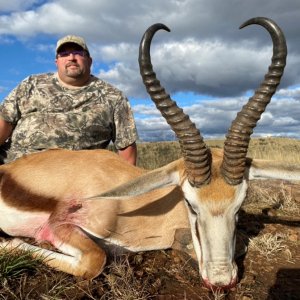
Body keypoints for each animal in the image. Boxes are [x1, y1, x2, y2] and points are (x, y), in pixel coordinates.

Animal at [0, 17, 298, 290]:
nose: (221, 280)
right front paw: (11, 243)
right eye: (190, 204)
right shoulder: (58, 226)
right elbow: (94, 260)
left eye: (239, 206)